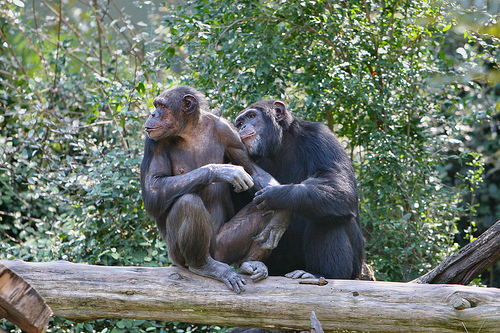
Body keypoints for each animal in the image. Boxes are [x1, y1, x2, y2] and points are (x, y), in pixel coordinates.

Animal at [141, 87, 290, 292]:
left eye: (161, 106)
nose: (152, 114)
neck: (190, 131)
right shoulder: (153, 143)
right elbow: (154, 188)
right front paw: (223, 171)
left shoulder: (228, 133)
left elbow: (255, 172)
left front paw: (281, 216)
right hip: (177, 256)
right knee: (188, 203)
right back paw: (204, 266)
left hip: (223, 248)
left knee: (264, 206)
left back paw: (251, 263)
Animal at [231, 100, 368, 278]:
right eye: (240, 122)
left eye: (252, 116)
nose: (242, 127)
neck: (279, 145)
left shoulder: (321, 137)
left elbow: (338, 183)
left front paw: (276, 196)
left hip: (355, 268)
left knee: (328, 215)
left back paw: (318, 273)